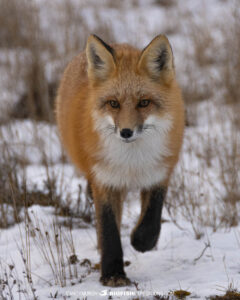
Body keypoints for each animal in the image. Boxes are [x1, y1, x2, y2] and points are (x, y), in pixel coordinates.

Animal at [55, 34, 184, 288]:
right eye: (114, 103)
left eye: (144, 102)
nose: (126, 132)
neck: (131, 163)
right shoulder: (105, 180)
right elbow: (108, 229)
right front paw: (113, 273)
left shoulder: (160, 173)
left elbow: (152, 218)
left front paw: (141, 241)